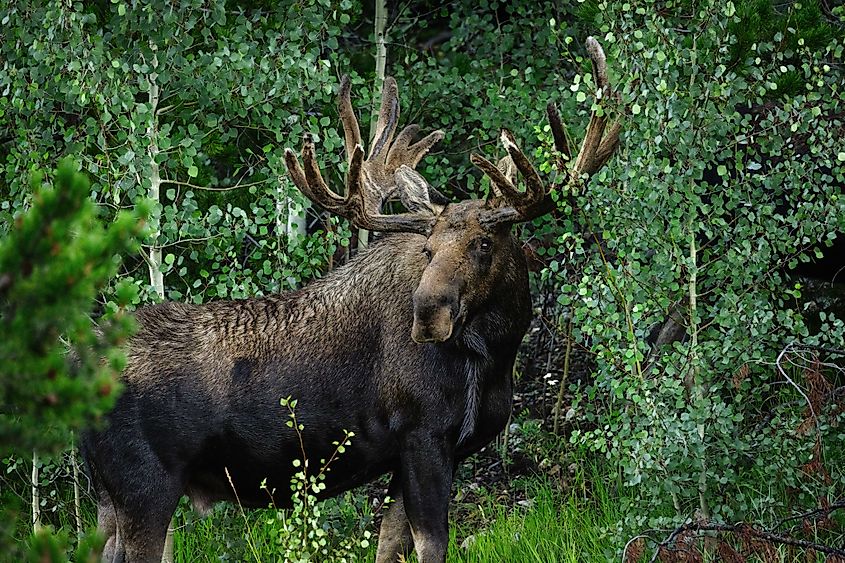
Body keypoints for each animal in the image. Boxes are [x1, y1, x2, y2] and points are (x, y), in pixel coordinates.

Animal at [81, 37, 620, 563]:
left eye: (483, 243)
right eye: (428, 249)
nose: (428, 315)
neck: (493, 354)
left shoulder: (415, 454)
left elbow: (389, 543)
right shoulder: (424, 437)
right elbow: (431, 545)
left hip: (111, 498)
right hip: (145, 487)